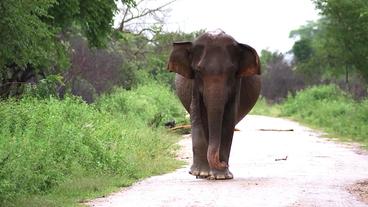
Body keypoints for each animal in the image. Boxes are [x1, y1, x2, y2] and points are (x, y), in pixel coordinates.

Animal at [167, 29, 262, 180]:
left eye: (232, 71)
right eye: (198, 70)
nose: (223, 163)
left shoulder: (237, 84)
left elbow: (229, 118)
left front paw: (221, 176)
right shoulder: (194, 84)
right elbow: (196, 115)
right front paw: (201, 173)